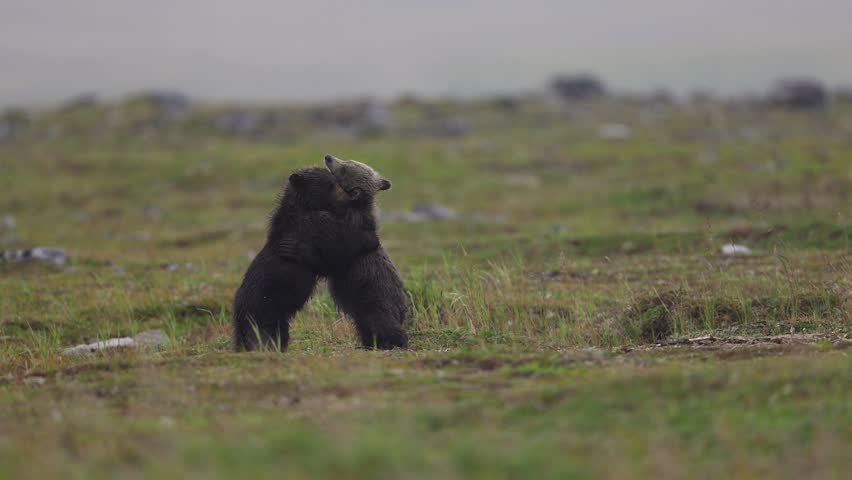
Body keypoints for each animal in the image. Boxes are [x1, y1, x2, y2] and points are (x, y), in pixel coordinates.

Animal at [232, 166, 380, 351]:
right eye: (330, 183)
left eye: (335, 179)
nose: (352, 195)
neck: (305, 206)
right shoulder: (314, 224)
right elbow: (339, 247)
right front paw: (370, 238)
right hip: (261, 312)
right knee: (265, 337)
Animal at [323, 154, 410, 349]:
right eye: (347, 160)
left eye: (344, 169)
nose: (328, 157)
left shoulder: (346, 233)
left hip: (374, 301)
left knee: (382, 324)